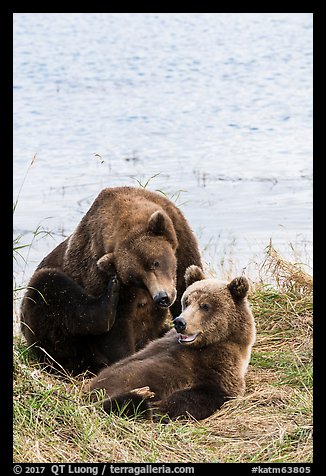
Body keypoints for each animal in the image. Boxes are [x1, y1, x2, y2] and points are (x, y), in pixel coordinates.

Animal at [19, 186, 201, 376]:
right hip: (57, 334)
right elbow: (117, 328)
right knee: (48, 287)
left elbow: (186, 283)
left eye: (155, 263)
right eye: (137, 279)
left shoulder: (182, 238)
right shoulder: (100, 270)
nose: (162, 297)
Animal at [87, 266, 258, 422]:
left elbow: (208, 392)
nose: (180, 322)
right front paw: (158, 408)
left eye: (205, 306)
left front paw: (160, 408)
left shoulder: (221, 364)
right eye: (187, 302)